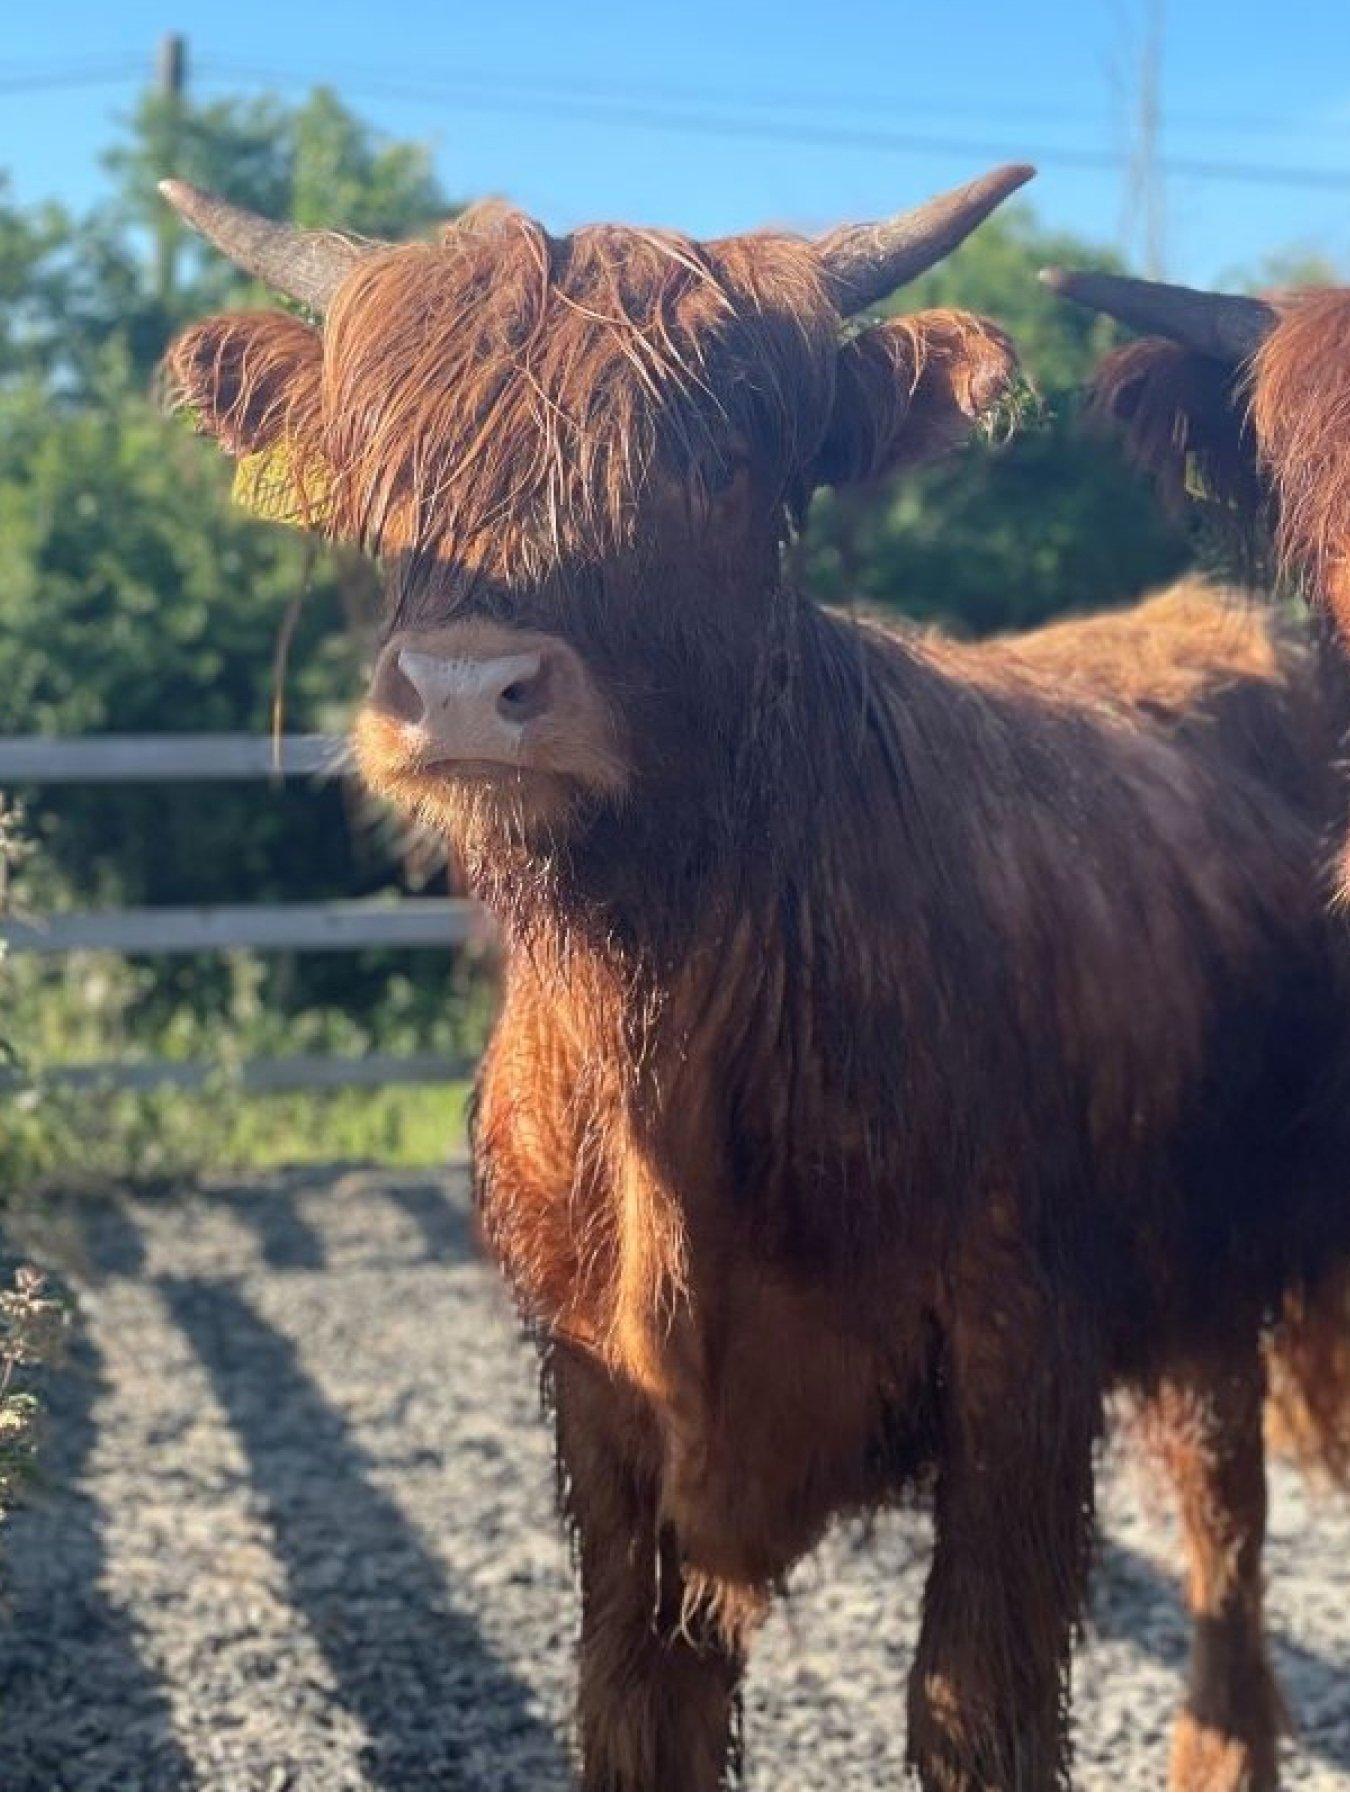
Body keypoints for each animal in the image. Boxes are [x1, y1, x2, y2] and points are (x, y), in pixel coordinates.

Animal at [161, 167, 1350, 1790]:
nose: (466, 692)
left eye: (720, 465)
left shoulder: (1022, 1376)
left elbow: (972, 1713)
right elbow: (635, 1716)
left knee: (1227, 1510)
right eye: (387, 468)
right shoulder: (605, 1424)